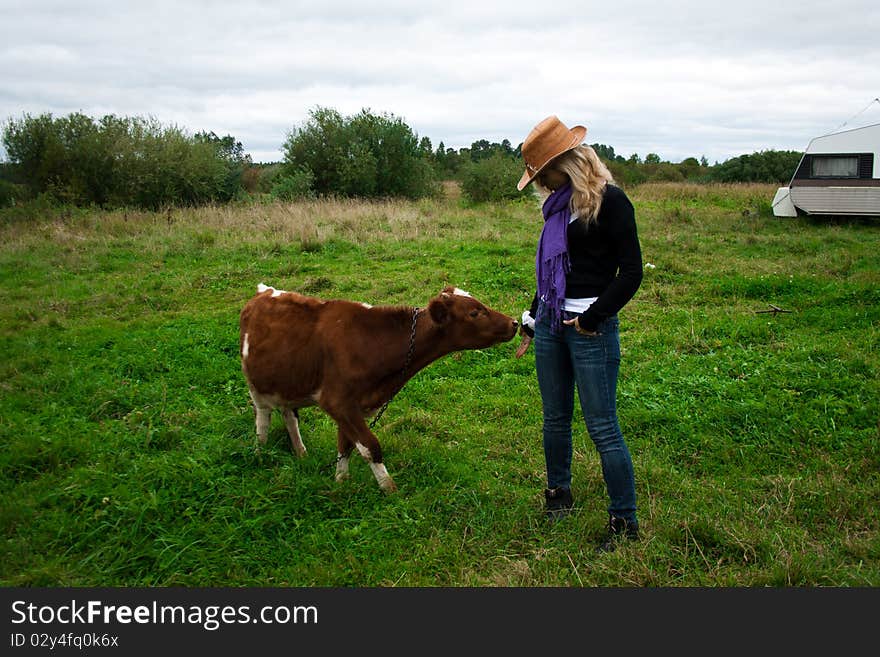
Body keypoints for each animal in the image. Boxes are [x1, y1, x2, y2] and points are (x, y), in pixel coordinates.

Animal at [237, 284, 520, 492]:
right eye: (474, 312)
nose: (515, 323)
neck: (371, 342)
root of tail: (263, 292)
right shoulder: (337, 401)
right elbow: (370, 446)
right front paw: (388, 489)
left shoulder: (354, 407)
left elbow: (346, 445)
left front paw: (341, 482)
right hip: (256, 385)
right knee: (263, 418)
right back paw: (260, 453)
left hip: (285, 383)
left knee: (289, 415)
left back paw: (301, 453)